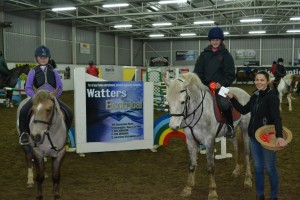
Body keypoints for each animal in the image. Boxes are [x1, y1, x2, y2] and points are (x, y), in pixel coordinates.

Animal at [165, 72, 252, 200]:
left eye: (182, 102)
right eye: (168, 101)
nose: (173, 126)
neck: (196, 113)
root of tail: (244, 93)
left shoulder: (209, 141)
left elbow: (210, 167)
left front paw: (212, 192)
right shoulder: (190, 141)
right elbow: (191, 165)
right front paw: (188, 188)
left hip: (245, 130)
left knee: (246, 152)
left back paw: (248, 180)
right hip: (233, 133)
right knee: (237, 148)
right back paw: (237, 170)